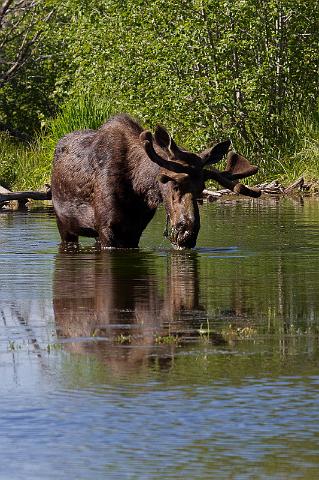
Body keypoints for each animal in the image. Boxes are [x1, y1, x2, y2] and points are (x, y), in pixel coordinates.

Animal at [50, 112, 260, 248]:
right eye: (172, 182)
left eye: (201, 188)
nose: (187, 233)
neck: (138, 186)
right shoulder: (106, 228)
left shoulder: (134, 230)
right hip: (64, 224)